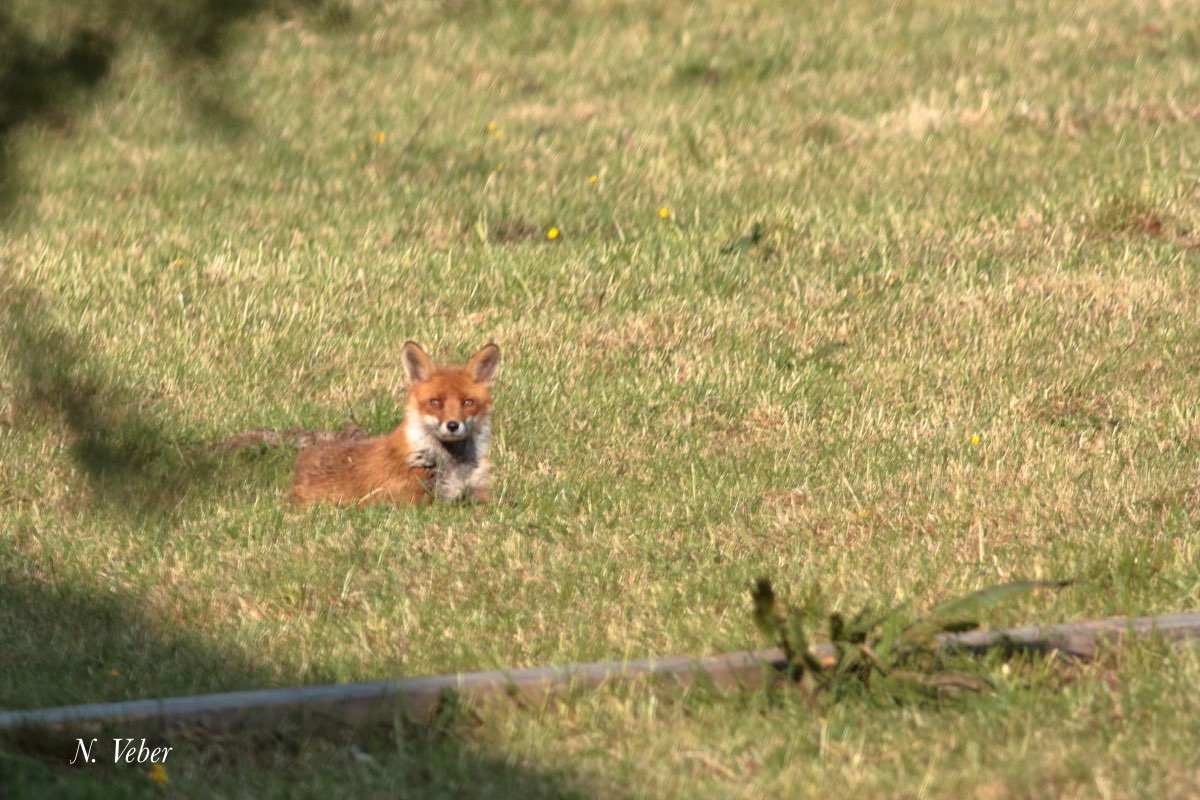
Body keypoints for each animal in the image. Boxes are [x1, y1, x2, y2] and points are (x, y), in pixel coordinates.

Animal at [288, 341, 501, 507]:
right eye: (435, 402)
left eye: (468, 402)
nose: (453, 425)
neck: (452, 468)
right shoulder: (408, 500)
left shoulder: (478, 491)